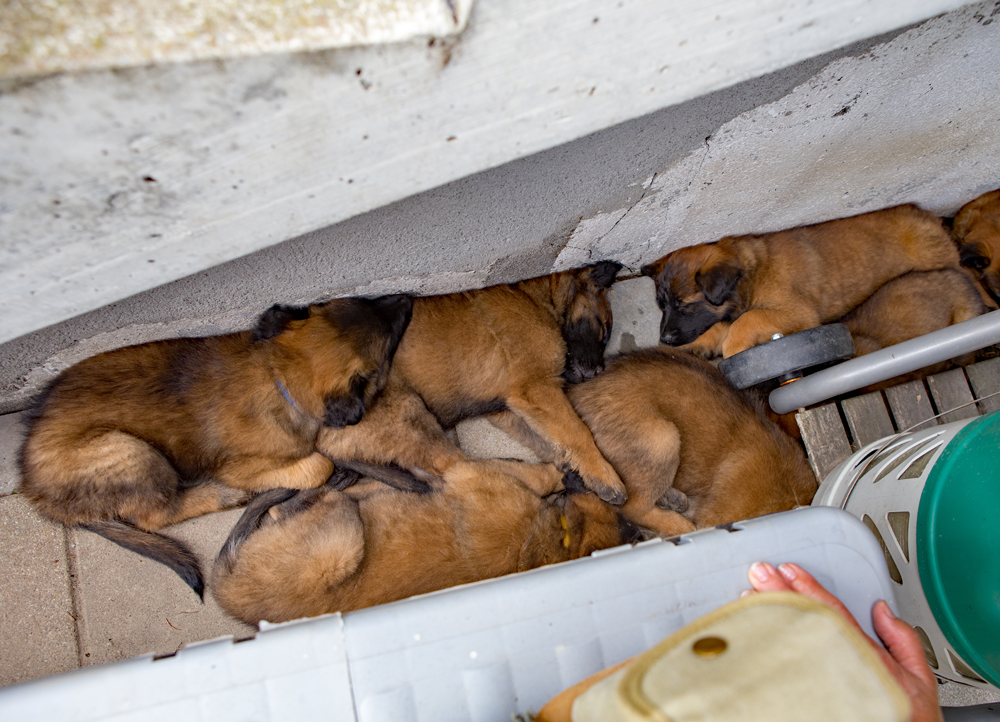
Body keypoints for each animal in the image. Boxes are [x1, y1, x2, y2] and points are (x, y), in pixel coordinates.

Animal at [16, 294, 414, 596]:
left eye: (363, 300)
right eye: (388, 346)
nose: (406, 297)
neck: (278, 374)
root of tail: (37, 494)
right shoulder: (242, 465)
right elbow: (319, 464)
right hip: (131, 452)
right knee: (154, 515)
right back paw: (221, 495)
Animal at [211, 458, 640, 620]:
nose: (638, 532)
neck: (553, 540)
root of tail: (227, 593)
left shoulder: (470, 470)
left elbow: (541, 475)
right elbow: (544, 477)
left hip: (344, 537)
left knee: (305, 500)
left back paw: (344, 476)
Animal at [316, 262, 624, 504]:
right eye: (604, 330)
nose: (598, 371)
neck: (538, 300)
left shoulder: (510, 407)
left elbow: (549, 441)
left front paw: (578, 469)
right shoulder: (538, 389)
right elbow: (578, 433)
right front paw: (603, 474)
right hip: (408, 412)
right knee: (457, 468)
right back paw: (543, 478)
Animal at [640, 204, 960, 358]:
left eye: (685, 305)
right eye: (661, 306)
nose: (664, 338)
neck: (754, 273)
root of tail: (929, 216)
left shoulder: (798, 313)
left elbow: (748, 319)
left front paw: (733, 346)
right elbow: (721, 324)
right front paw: (694, 344)